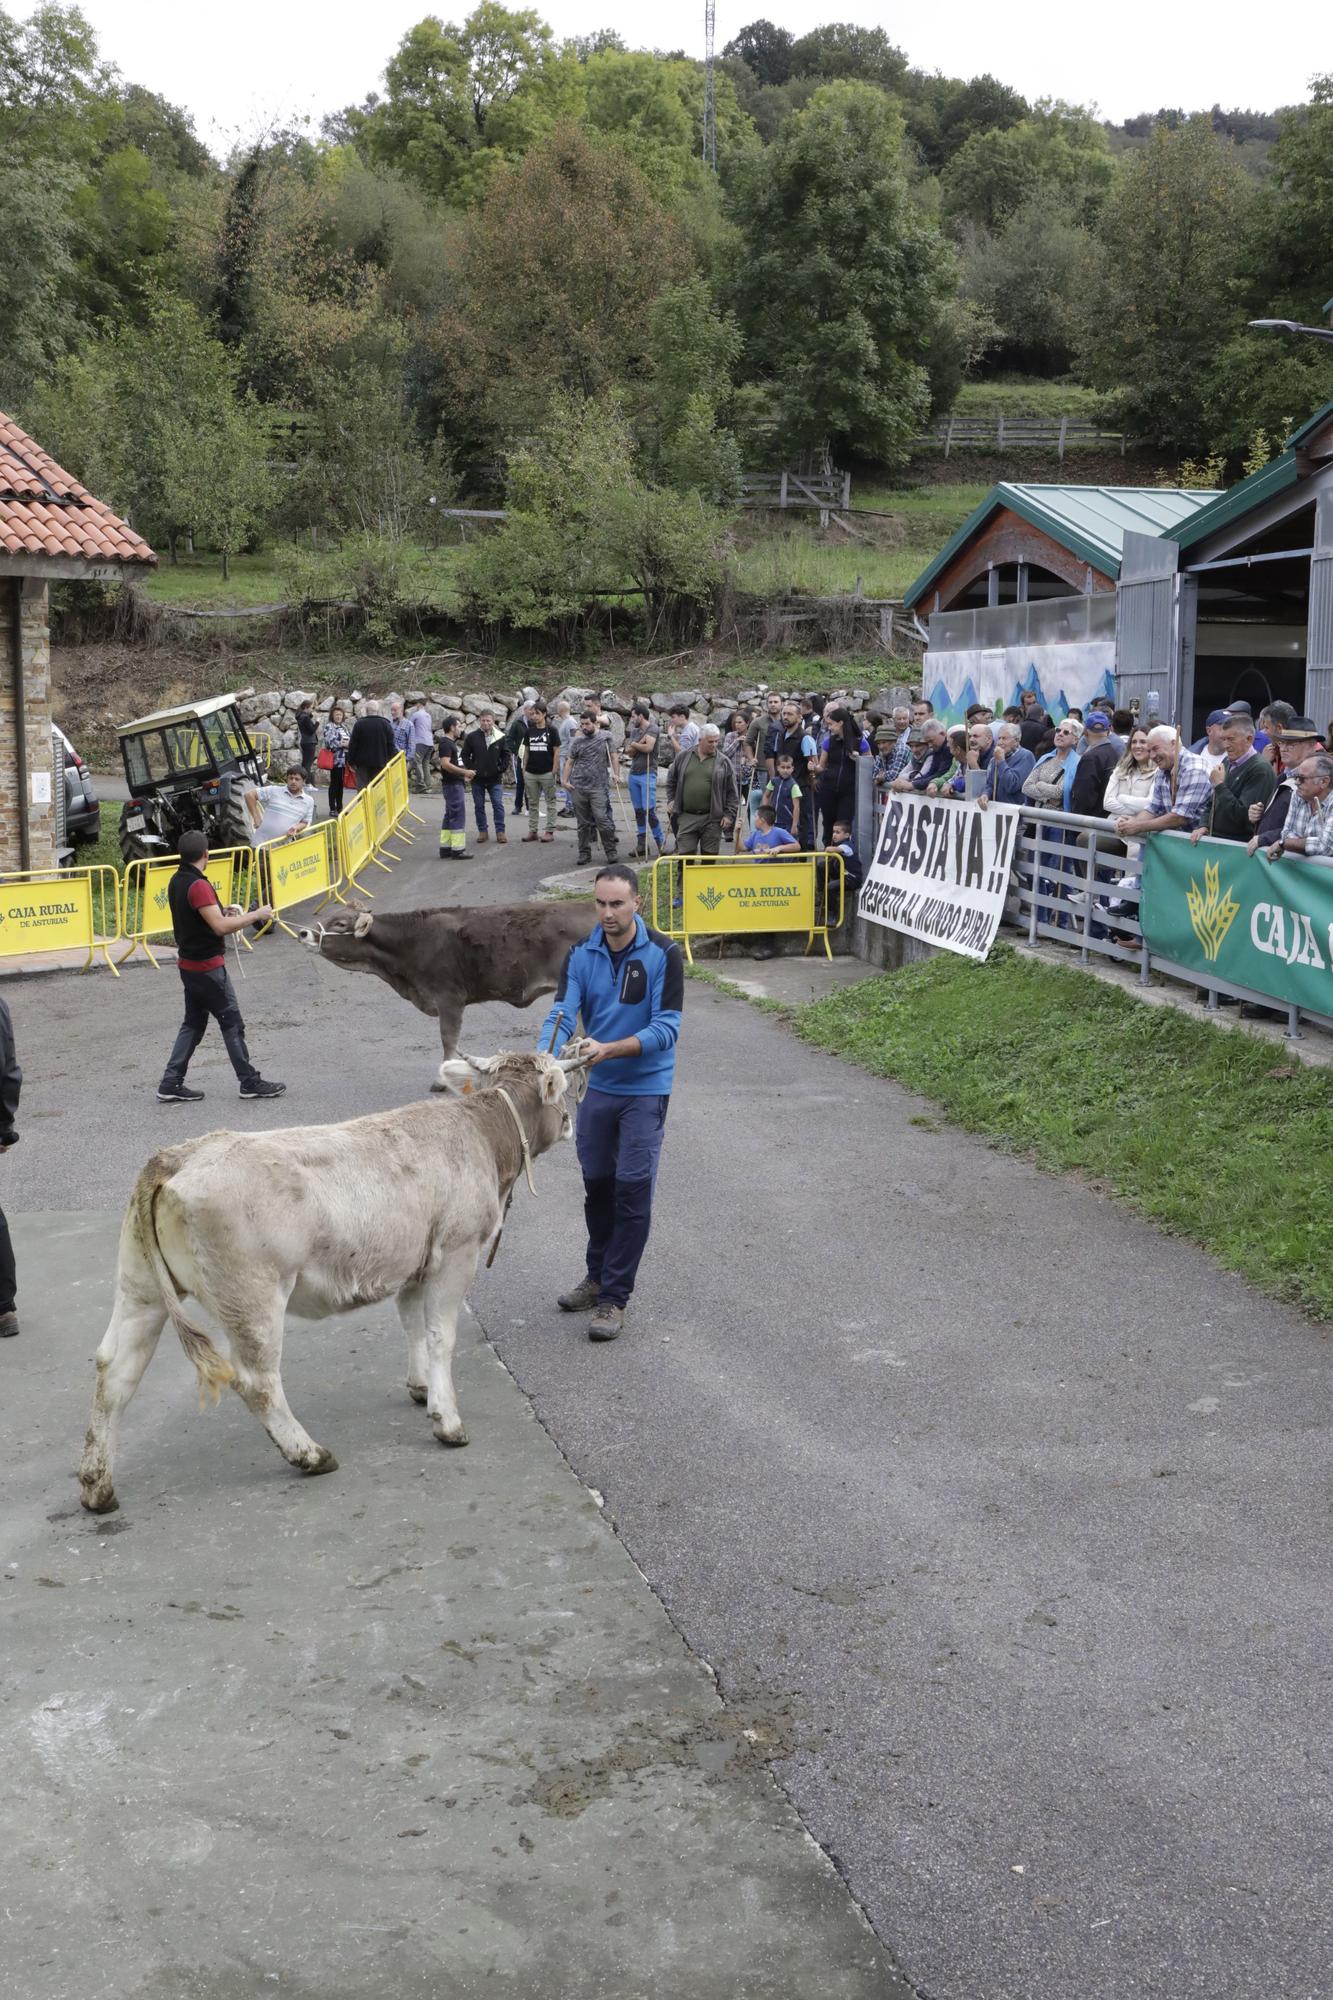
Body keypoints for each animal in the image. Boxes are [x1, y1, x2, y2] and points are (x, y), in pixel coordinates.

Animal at [78, 1056, 588, 1504]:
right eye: (563, 1086)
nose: (570, 1123)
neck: (481, 1132)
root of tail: (179, 1155)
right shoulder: (456, 1252)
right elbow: (440, 1334)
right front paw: (447, 1420)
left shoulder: (414, 1259)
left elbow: (412, 1325)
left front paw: (421, 1387)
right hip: (253, 1297)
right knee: (257, 1380)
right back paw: (309, 1454)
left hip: (141, 1288)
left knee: (115, 1367)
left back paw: (96, 1486)